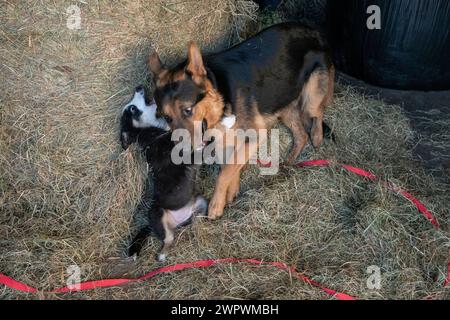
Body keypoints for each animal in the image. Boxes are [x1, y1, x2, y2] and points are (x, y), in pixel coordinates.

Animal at [119, 85, 207, 262]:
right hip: (157, 214)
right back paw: (162, 255)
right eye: (132, 109)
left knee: (194, 220)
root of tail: (177, 220)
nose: (138, 87)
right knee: (168, 239)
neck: (154, 132)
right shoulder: (188, 155)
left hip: (201, 203)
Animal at [148, 22, 334, 220]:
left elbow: (226, 170)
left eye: (188, 110)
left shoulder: (256, 135)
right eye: (167, 117)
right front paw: (231, 191)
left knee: (317, 114)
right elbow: (232, 164)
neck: (221, 94)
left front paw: (216, 205)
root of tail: (314, 32)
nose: (181, 152)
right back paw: (288, 163)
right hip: (284, 104)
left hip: (310, 101)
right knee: (301, 135)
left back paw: (317, 136)